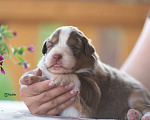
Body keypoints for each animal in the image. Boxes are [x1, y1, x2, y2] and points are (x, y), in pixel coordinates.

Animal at [19, 26, 150, 120]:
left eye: (73, 47)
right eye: (51, 45)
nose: (56, 56)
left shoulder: (94, 92)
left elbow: (78, 78)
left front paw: (62, 78)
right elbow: (43, 78)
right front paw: (28, 77)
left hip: (137, 95)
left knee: (145, 106)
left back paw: (143, 115)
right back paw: (132, 115)